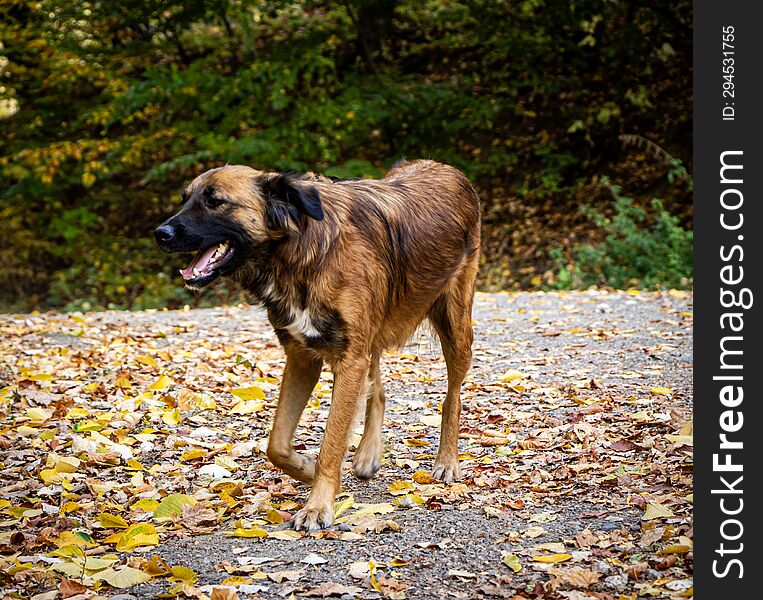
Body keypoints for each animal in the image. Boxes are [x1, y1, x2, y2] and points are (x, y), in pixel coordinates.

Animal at [152, 158, 480, 528]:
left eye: (215, 201)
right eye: (185, 199)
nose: (160, 234)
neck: (300, 250)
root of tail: (445, 168)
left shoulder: (349, 359)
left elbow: (332, 440)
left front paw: (317, 505)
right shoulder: (302, 357)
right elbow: (277, 444)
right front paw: (307, 470)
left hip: (455, 328)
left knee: (452, 399)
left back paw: (447, 461)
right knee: (378, 389)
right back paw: (368, 454)